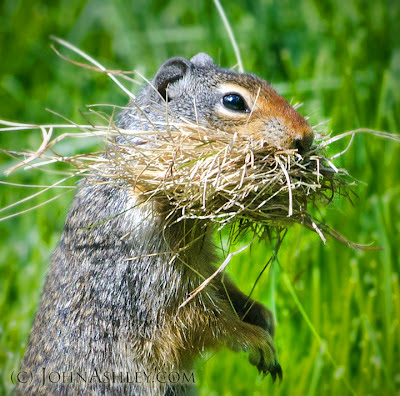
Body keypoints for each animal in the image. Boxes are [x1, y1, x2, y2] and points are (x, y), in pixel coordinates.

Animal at [16, 53, 312, 396]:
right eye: (234, 101)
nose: (306, 136)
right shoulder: (161, 288)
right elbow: (206, 323)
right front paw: (258, 342)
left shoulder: (203, 265)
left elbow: (225, 288)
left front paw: (263, 316)